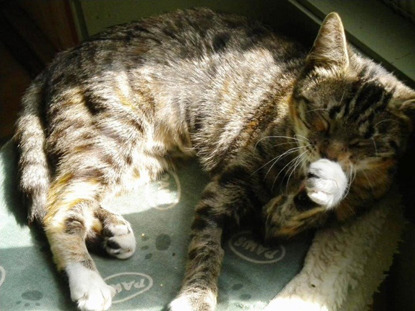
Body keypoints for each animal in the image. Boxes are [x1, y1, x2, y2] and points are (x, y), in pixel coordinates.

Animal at [14, 7, 414, 311]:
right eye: (320, 117)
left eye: (365, 142)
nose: (327, 153)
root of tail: (63, 55)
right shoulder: (228, 185)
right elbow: (208, 245)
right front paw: (196, 297)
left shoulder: (275, 223)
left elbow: (293, 209)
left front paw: (330, 182)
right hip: (113, 133)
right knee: (59, 204)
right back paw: (88, 280)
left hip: (141, 157)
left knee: (71, 193)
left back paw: (112, 231)